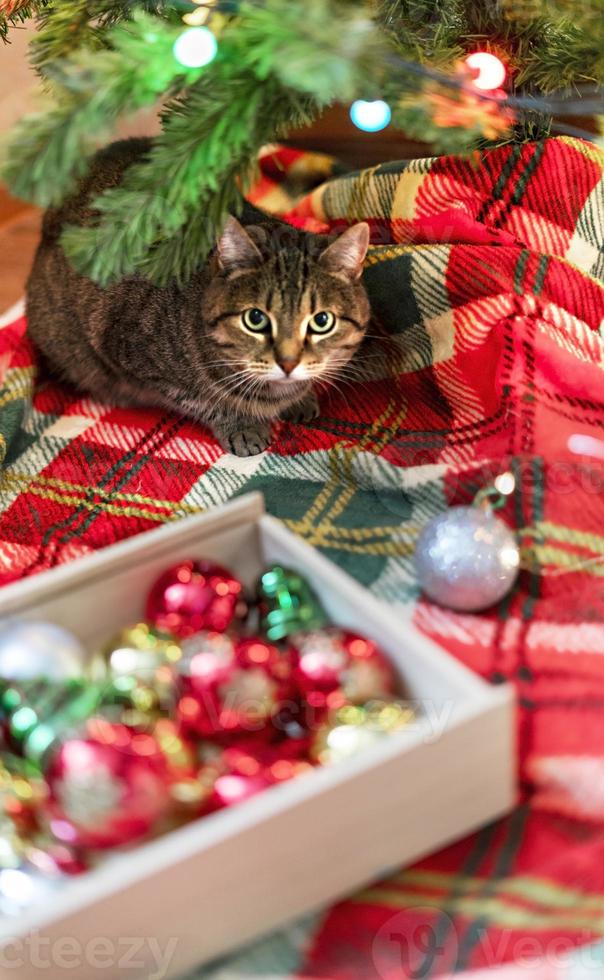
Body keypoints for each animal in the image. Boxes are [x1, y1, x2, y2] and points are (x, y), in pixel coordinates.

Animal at [26, 138, 370, 456]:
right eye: (255, 319)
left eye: (322, 321)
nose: (288, 362)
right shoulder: (136, 360)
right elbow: (203, 400)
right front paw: (243, 424)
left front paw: (299, 398)